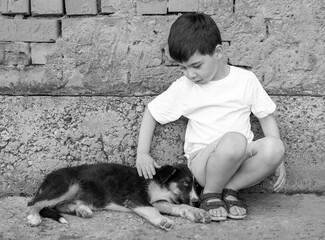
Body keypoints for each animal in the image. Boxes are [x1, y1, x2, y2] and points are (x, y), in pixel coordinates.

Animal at [27, 163, 210, 231]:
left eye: (198, 187)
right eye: (185, 183)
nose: (197, 202)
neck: (160, 182)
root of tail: (46, 178)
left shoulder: (159, 201)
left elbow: (178, 206)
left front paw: (196, 212)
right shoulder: (137, 199)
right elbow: (152, 210)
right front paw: (163, 221)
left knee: (58, 205)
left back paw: (82, 210)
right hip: (66, 185)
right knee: (35, 202)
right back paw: (33, 217)